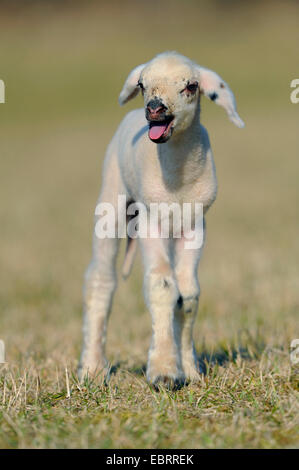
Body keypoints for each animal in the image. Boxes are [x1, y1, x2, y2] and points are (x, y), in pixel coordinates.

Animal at [78, 51, 245, 390]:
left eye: (191, 86)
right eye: (142, 84)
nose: (155, 109)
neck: (177, 178)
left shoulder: (195, 225)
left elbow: (188, 293)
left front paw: (190, 370)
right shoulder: (149, 221)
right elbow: (163, 285)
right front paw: (164, 372)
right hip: (112, 198)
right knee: (100, 278)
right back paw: (92, 368)